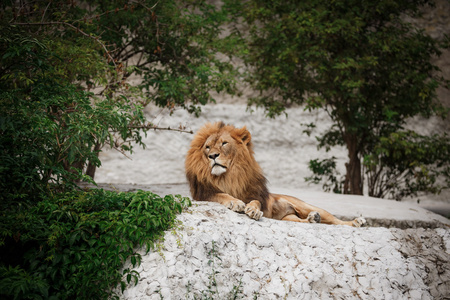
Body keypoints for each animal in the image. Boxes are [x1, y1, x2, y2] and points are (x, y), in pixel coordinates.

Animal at [186, 120, 366, 226]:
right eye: (207, 147)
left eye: (224, 143)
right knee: (302, 221)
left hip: (308, 206)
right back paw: (312, 219)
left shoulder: (254, 193)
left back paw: (355, 222)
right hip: (290, 218)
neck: (229, 176)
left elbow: (255, 202)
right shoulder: (204, 194)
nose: (212, 156)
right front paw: (235, 202)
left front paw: (253, 210)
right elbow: (221, 195)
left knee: (335, 220)